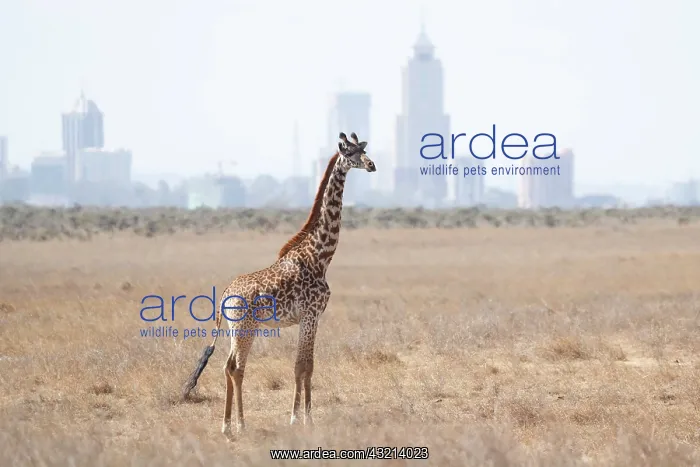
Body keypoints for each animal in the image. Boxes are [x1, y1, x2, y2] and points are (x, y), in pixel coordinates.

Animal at [181, 132, 376, 438]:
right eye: (350, 153)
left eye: (365, 150)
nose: (371, 165)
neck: (320, 256)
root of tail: (225, 294)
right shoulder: (309, 314)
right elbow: (301, 366)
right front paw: (301, 419)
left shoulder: (312, 317)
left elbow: (307, 366)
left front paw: (304, 417)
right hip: (246, 327)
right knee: (236, 367)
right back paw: (240, 425)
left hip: (235, 328)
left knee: (228, 366)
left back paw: (226, 426)